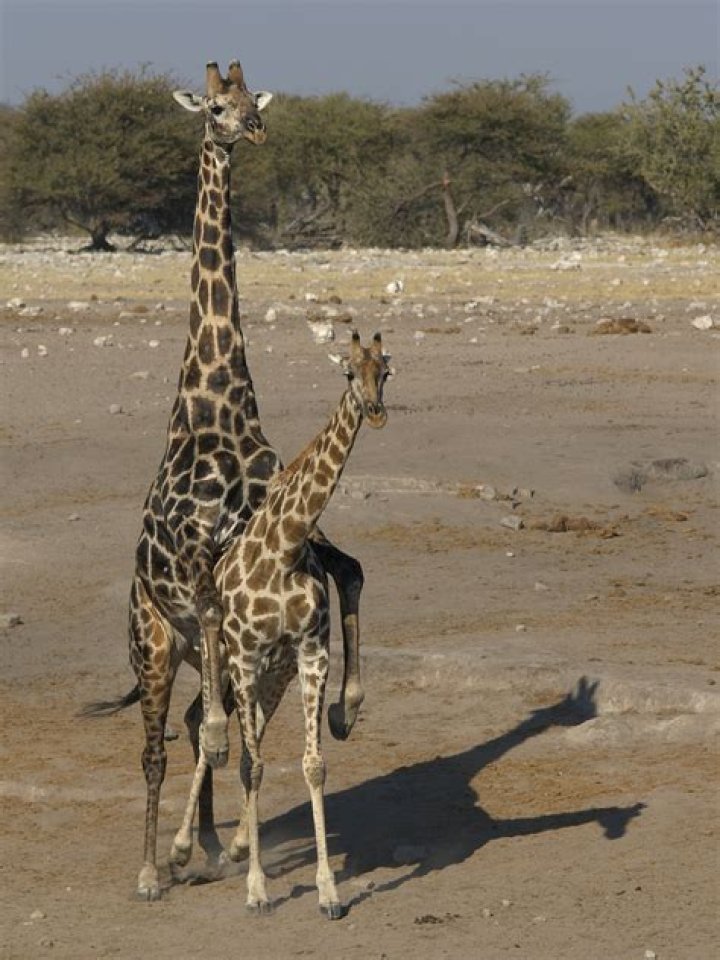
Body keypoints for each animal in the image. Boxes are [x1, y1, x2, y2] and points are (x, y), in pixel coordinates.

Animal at [83, 61, 366, 902]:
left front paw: (348, 706)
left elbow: (349, 569)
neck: (219, 404)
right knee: (157, 744)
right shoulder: (203, 563)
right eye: (214, 107)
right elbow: (213, 715)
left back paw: (206, 844)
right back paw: (153, 867)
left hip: (200, 649)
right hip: (150, 640)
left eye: (251, 97)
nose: (253, 128)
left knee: (197, 723)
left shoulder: (287, 541)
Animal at [170, 332, 392, 918]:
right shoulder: (246, 657)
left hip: (273, 673)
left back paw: (227, 845)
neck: (286, 546)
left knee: (225, 729)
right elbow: (251, 767)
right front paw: (257, 890)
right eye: (347, 372)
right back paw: (177, 850)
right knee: (210, 731)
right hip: (234, 667)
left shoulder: (310, 653)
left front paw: (329, 892)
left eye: (386, 371)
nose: (375, 412)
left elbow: (312, 765)